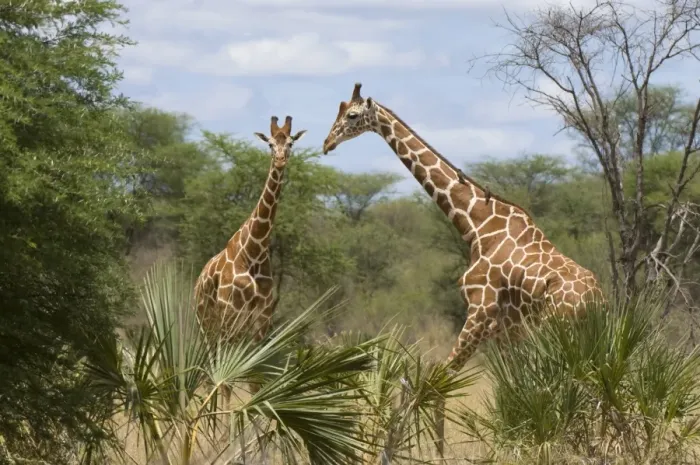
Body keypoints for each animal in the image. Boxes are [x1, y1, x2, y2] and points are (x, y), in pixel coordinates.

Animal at [195, 115, 306, 400]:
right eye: (270, 144)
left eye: (290, 143)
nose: (280, 160)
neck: (254, 252)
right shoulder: (230, 314)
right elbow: (225, 380)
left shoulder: (262, 321)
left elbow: (254, 380)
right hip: (207, 323)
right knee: (210, 373)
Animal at [321, 83, 605, 453]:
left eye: (353, 116)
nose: (327, 143)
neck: (475, 225)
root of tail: (598, 299)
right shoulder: (505, 329)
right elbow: (513, 388)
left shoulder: (479, 313)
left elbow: (437, 382)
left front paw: (426, 451)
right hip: (586, 338)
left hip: (559, 333)